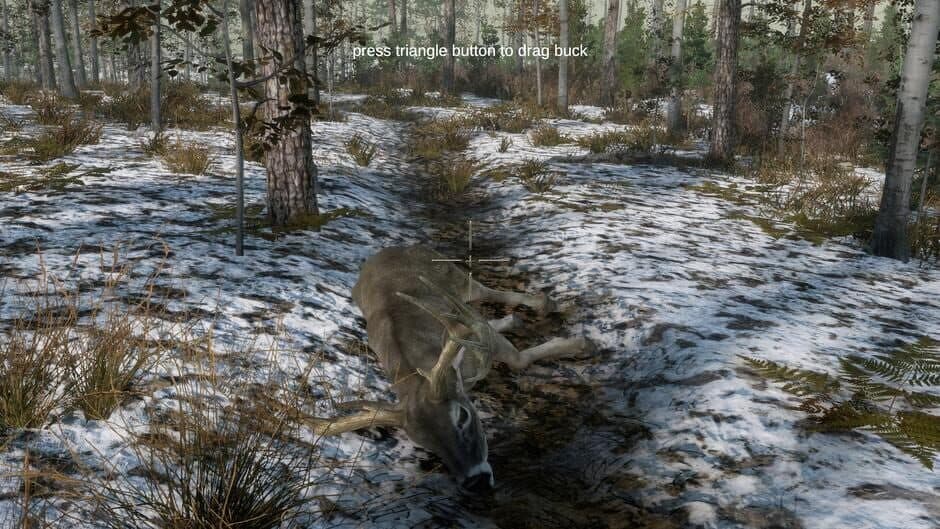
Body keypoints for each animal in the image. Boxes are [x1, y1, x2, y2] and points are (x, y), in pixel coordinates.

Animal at [311, 245, 594, 493]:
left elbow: (518, 360)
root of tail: (388, 250)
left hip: (454, 277)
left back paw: (543, 304)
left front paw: (580, 343)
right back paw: (513, 319)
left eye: (462, 416)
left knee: (485, 292)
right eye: (426, 443)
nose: (476, 483)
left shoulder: (480, 340)